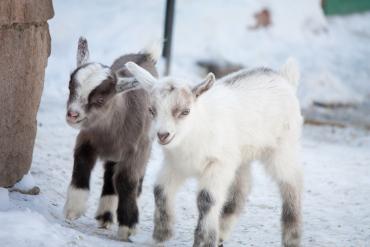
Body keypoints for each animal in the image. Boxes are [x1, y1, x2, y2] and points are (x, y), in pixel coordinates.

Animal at [62, 37, 158, 240]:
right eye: (70, 87)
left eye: (100, 99)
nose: (73, 115)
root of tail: (145, 55)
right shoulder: (86, 139)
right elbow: (82, 164)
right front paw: (74, 208)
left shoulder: (135, 151)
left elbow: (126, 181)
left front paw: (128, 226)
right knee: (109, 175)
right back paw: (104, 216)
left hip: (147, 145)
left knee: (128, 178)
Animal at [123, 60, 302, 247]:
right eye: (151, 110)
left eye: (185, 111)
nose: (163, 135)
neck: (196, 128)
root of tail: (284, 76)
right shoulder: (175, 165)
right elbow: (160, 191)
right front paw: (158, 237)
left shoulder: (217, 165)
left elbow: (206, 199)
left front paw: (203, 241)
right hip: (241, 158)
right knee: (241, 189)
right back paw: (221, 234)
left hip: (282, 148)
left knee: (292, 184)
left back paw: (291, 238)